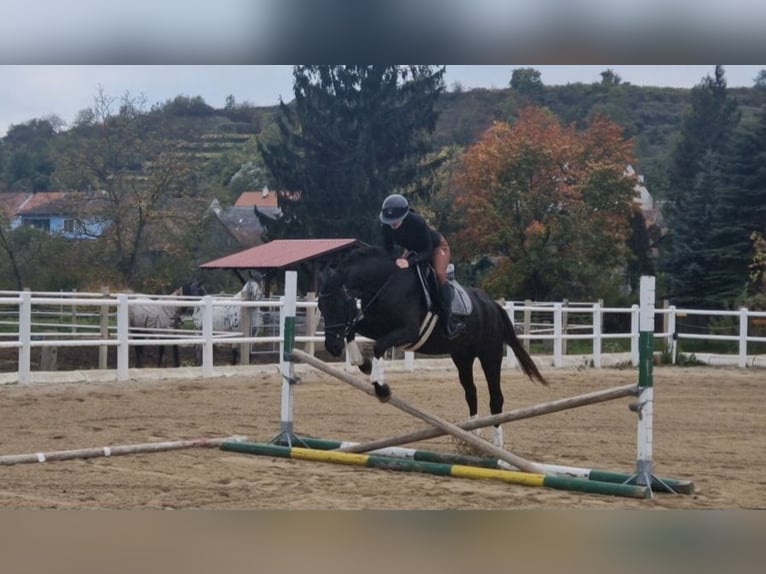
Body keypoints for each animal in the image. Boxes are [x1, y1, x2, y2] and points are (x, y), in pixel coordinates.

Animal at [320, 245, 548, 448]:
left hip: (489, 355)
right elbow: (352, 331)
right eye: (321, 307)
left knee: (496, 397)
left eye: (339, 304)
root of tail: (492, 305)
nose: (332, 347)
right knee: (471, 391)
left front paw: (381, 388)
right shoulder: (375, 324)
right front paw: (362, 363)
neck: (385, 284)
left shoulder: (408, 331)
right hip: (462, 357)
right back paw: (474, 437)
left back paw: (497, 443)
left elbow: (379, 346)